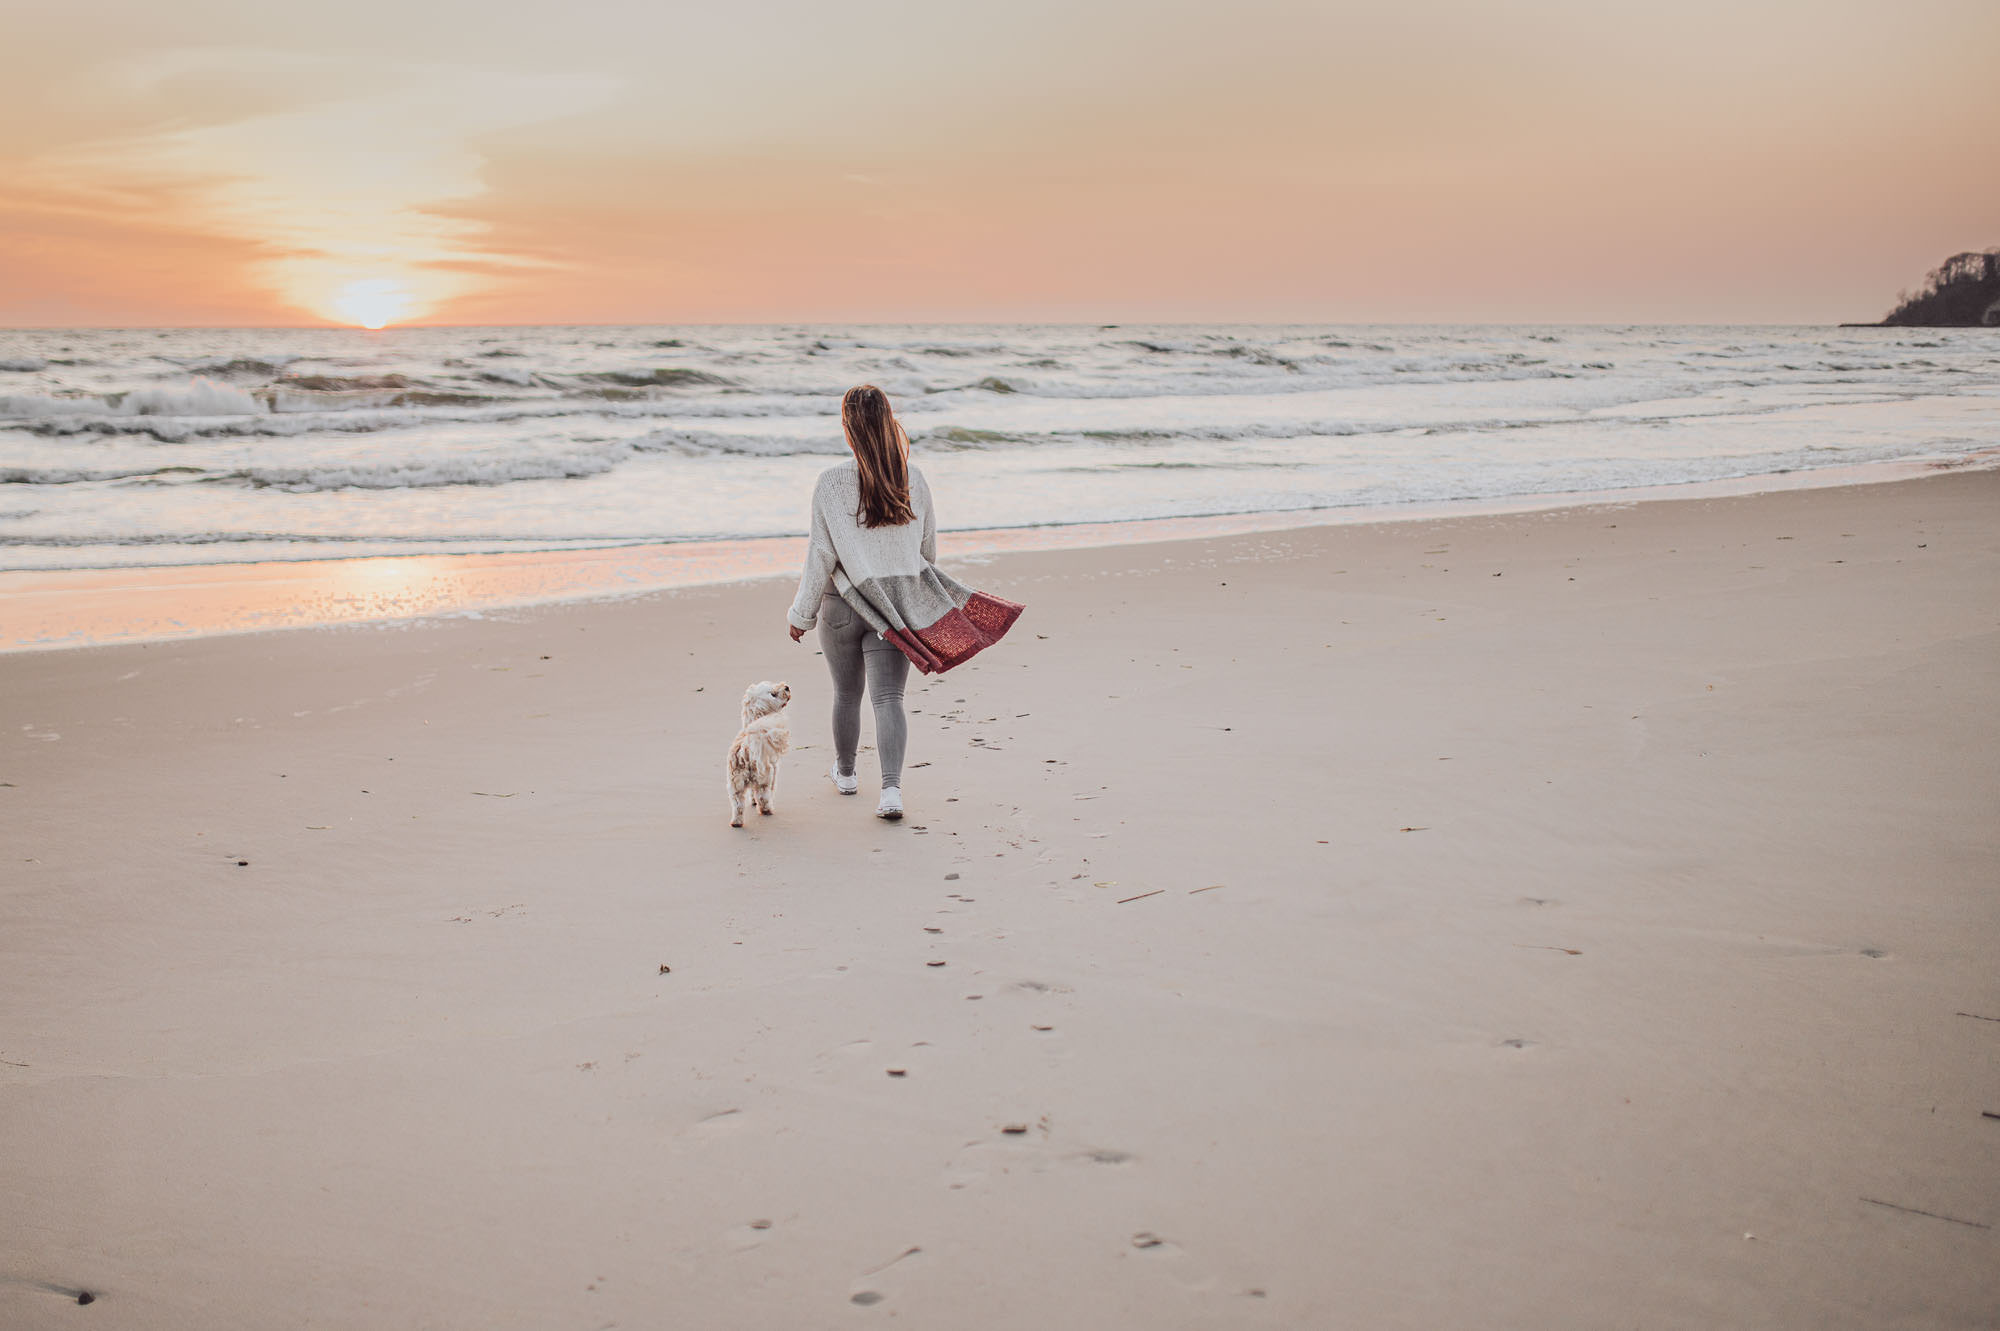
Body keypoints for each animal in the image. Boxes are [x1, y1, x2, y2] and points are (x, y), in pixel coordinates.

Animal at [728, 679, 788, 823]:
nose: (786, 687)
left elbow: (752, 793)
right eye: (773, 694)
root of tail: (744, 749)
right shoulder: (773, 771)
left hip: (735, 783)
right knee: (763, 796)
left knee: (738, 804)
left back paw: (736, 822)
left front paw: (753, 802)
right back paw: (767, 810)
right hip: (763, 777)